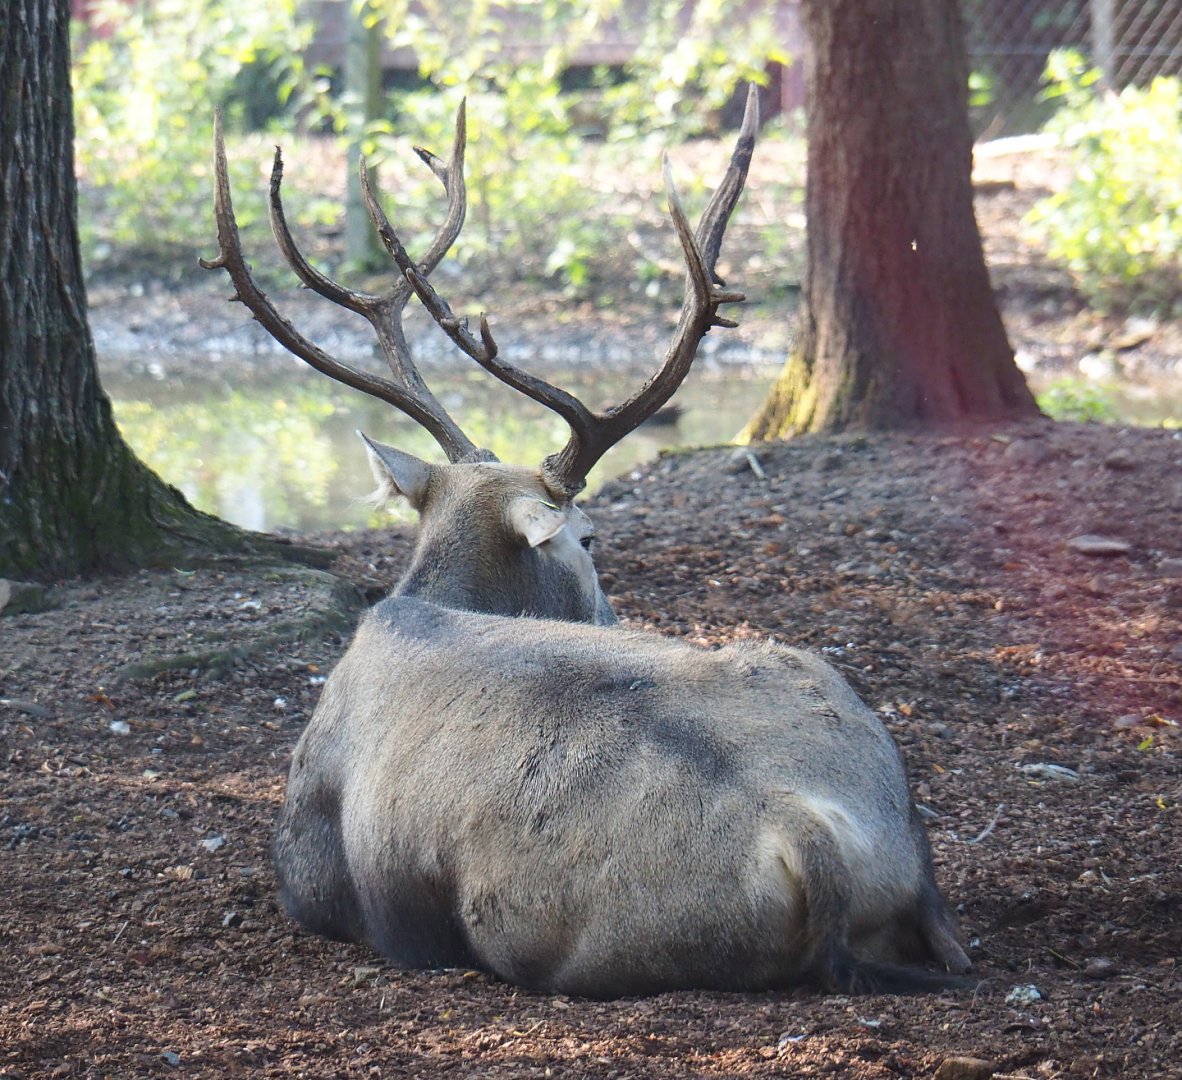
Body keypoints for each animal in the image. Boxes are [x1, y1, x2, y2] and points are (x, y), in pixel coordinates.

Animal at [202, 87, 972, 998]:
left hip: (564, 939)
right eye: (593, 541)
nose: (612, 615)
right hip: (829, 702)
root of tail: (803, 830)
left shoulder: (305, 869)